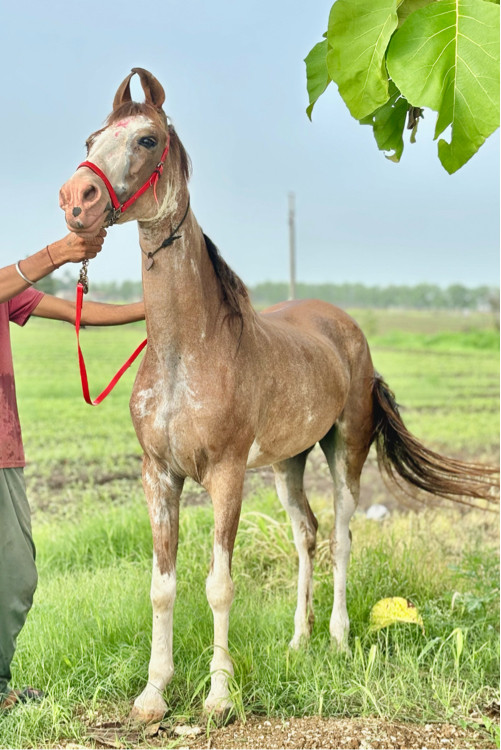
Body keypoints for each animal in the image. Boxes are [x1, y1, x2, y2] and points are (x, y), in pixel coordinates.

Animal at [58, 67, 496, 724]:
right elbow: (162, 585)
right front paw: (154, 694)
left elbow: (219, 585)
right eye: (91, 139)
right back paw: (298, 641)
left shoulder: (226, 476)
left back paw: (337, 639)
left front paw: (217, 695)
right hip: (289, 463)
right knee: (306, 534)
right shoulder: (158, 474)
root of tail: (344, 327)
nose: (76, 199)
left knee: (341, 535)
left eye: (146, 140)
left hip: (345, 451)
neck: (188, 351)